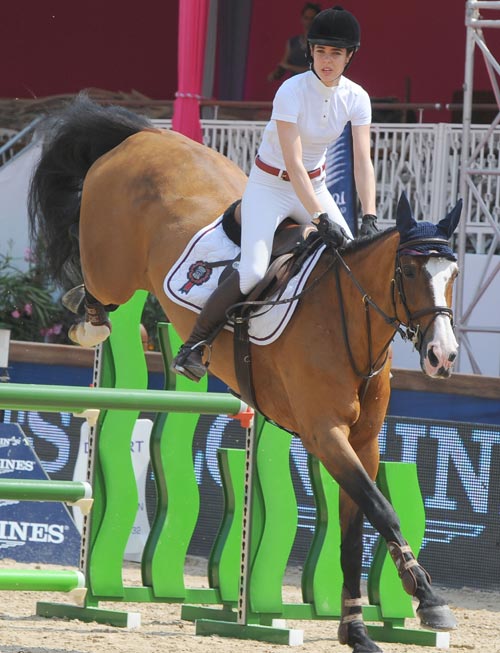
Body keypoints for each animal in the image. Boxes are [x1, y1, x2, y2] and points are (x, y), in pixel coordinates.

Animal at [30, 94, 460, 648]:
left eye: (453, 275)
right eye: (408, 271)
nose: (442, 356)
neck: (349, 320)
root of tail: (146, 136)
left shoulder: (363, 442)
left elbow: (355, 530)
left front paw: (356, 629)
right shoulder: (325, 434)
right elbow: (381, 510)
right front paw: (427, 597)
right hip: (114, 270)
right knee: (96, 294)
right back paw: (88, 324)